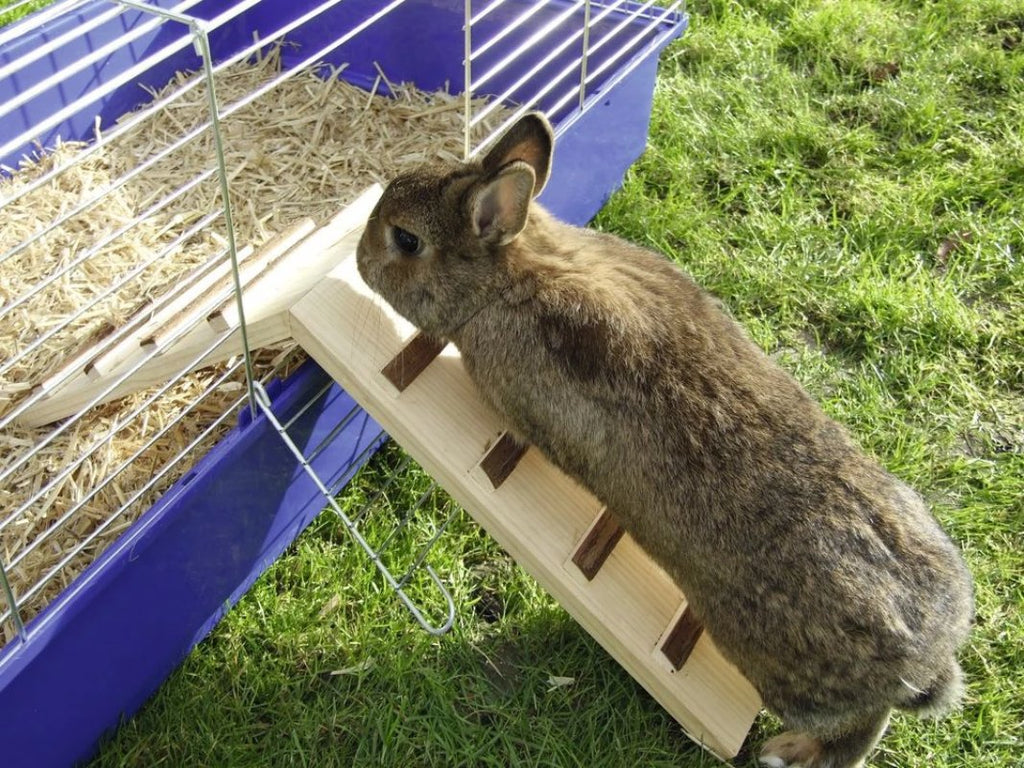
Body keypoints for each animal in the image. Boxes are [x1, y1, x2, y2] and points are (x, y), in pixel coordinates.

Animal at [356, 112, 974, 768]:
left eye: (406, 241)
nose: (360, 259)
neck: (511, 276)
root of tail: (929, 658)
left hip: (788, 676)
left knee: (856, 732)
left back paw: (786, 751)